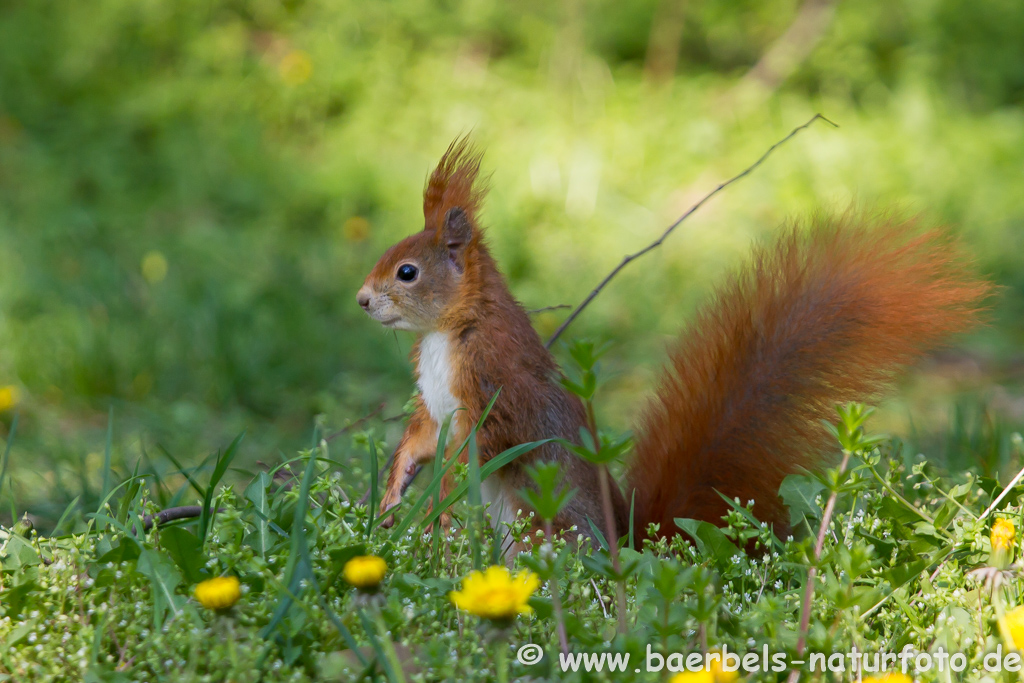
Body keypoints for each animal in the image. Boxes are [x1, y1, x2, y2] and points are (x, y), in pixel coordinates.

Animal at [356, 136, 987, 548]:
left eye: (407, 272)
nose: (362, 300)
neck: (446, 333)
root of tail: (633, 546)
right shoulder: (434, 400)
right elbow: (420, 436)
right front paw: (393, 494)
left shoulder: (495, 386)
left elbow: (479, 447)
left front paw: (436, 502)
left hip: (546, 522)